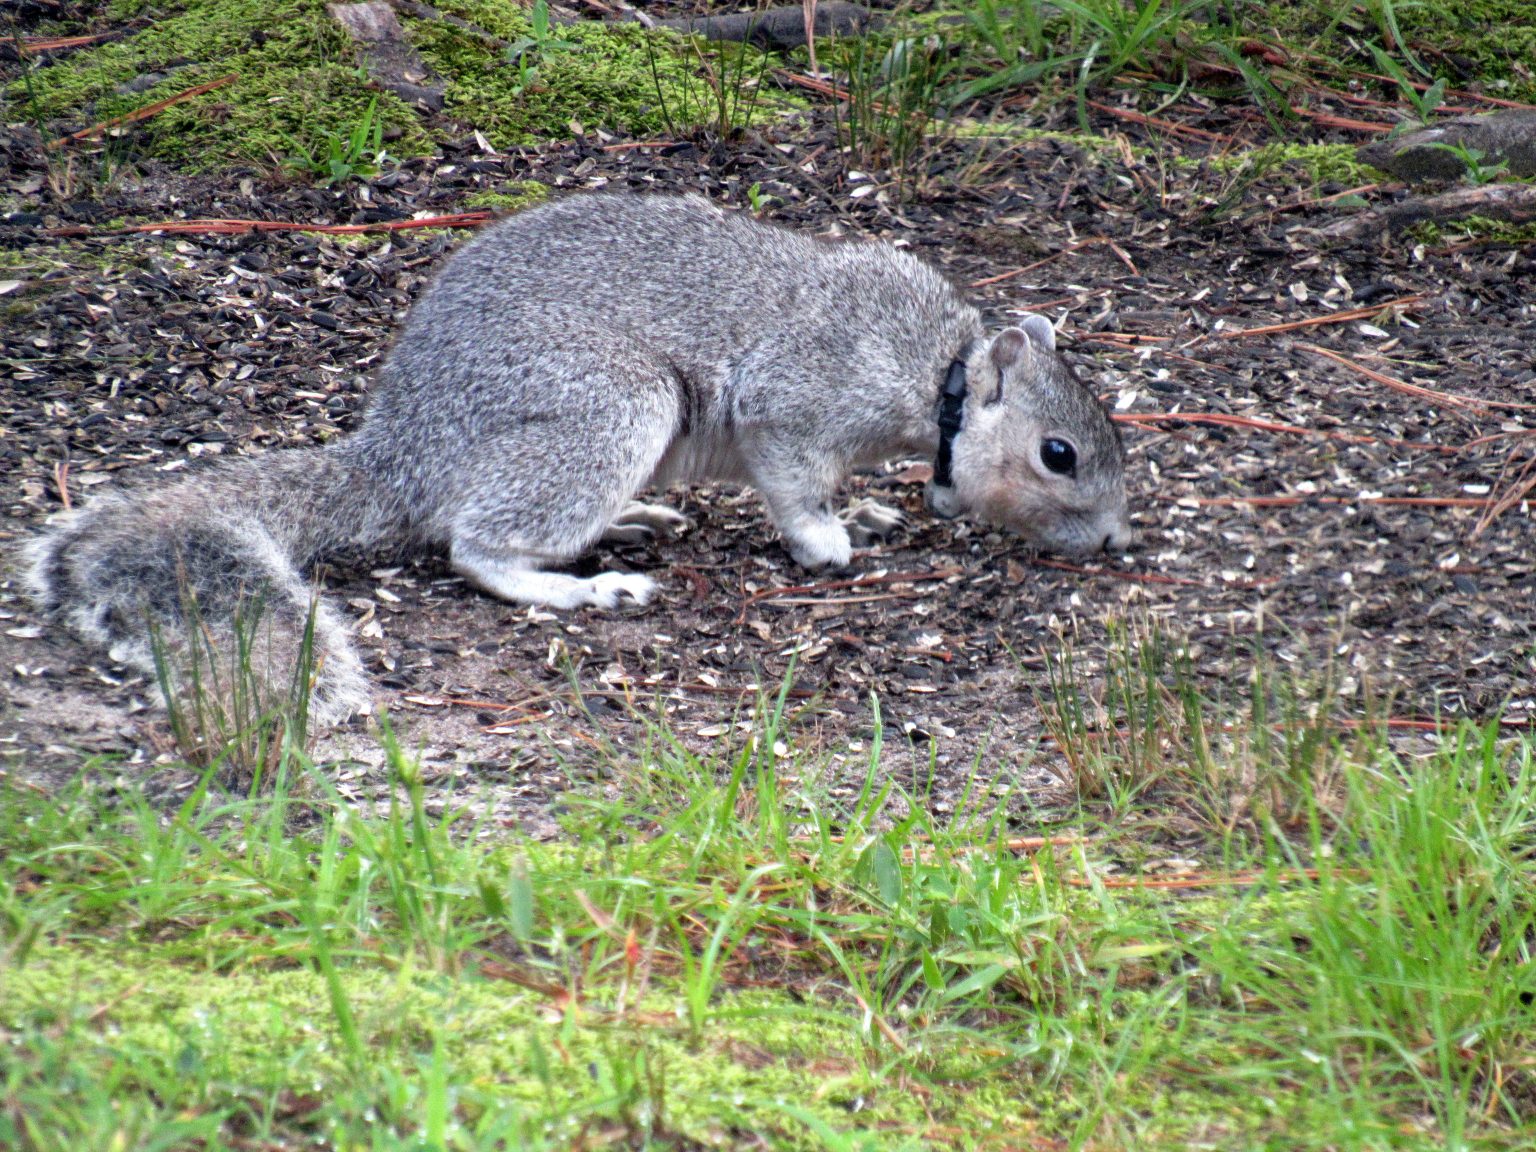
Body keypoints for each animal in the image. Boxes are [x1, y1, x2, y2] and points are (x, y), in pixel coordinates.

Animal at [24, 193, 1132, 724]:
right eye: (1059, 453)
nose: (1118, 540)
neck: (934, 372)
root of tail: (403, 450)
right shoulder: (794, 401)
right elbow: (792, 483)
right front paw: (828, 544)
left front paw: (865, 510)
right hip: (609, 410)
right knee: (475, 545)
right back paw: (580, 588)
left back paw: (629, 524)